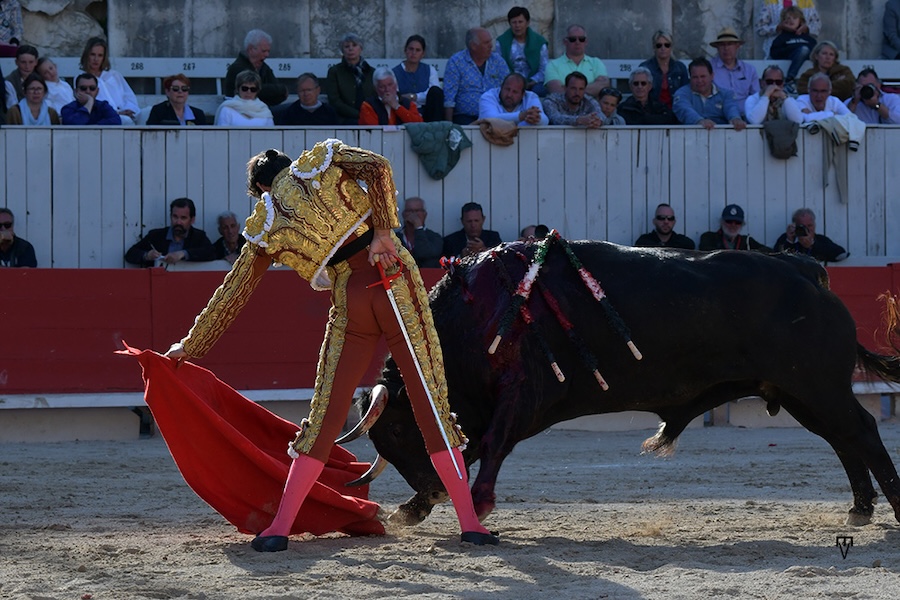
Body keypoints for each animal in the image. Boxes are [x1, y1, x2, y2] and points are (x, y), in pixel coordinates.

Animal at [340, 238, 900, 529]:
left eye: (395, 431)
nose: (433, 492)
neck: (473, 317)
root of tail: (803, 267)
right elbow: (469, 449)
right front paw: (414, 508)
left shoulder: (522, 396)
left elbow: (490, 446)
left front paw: (473, 504)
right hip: (801, 393)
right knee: (843, 439)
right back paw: (859, 509)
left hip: (819, 387)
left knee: (862, 432)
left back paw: (889, 506)